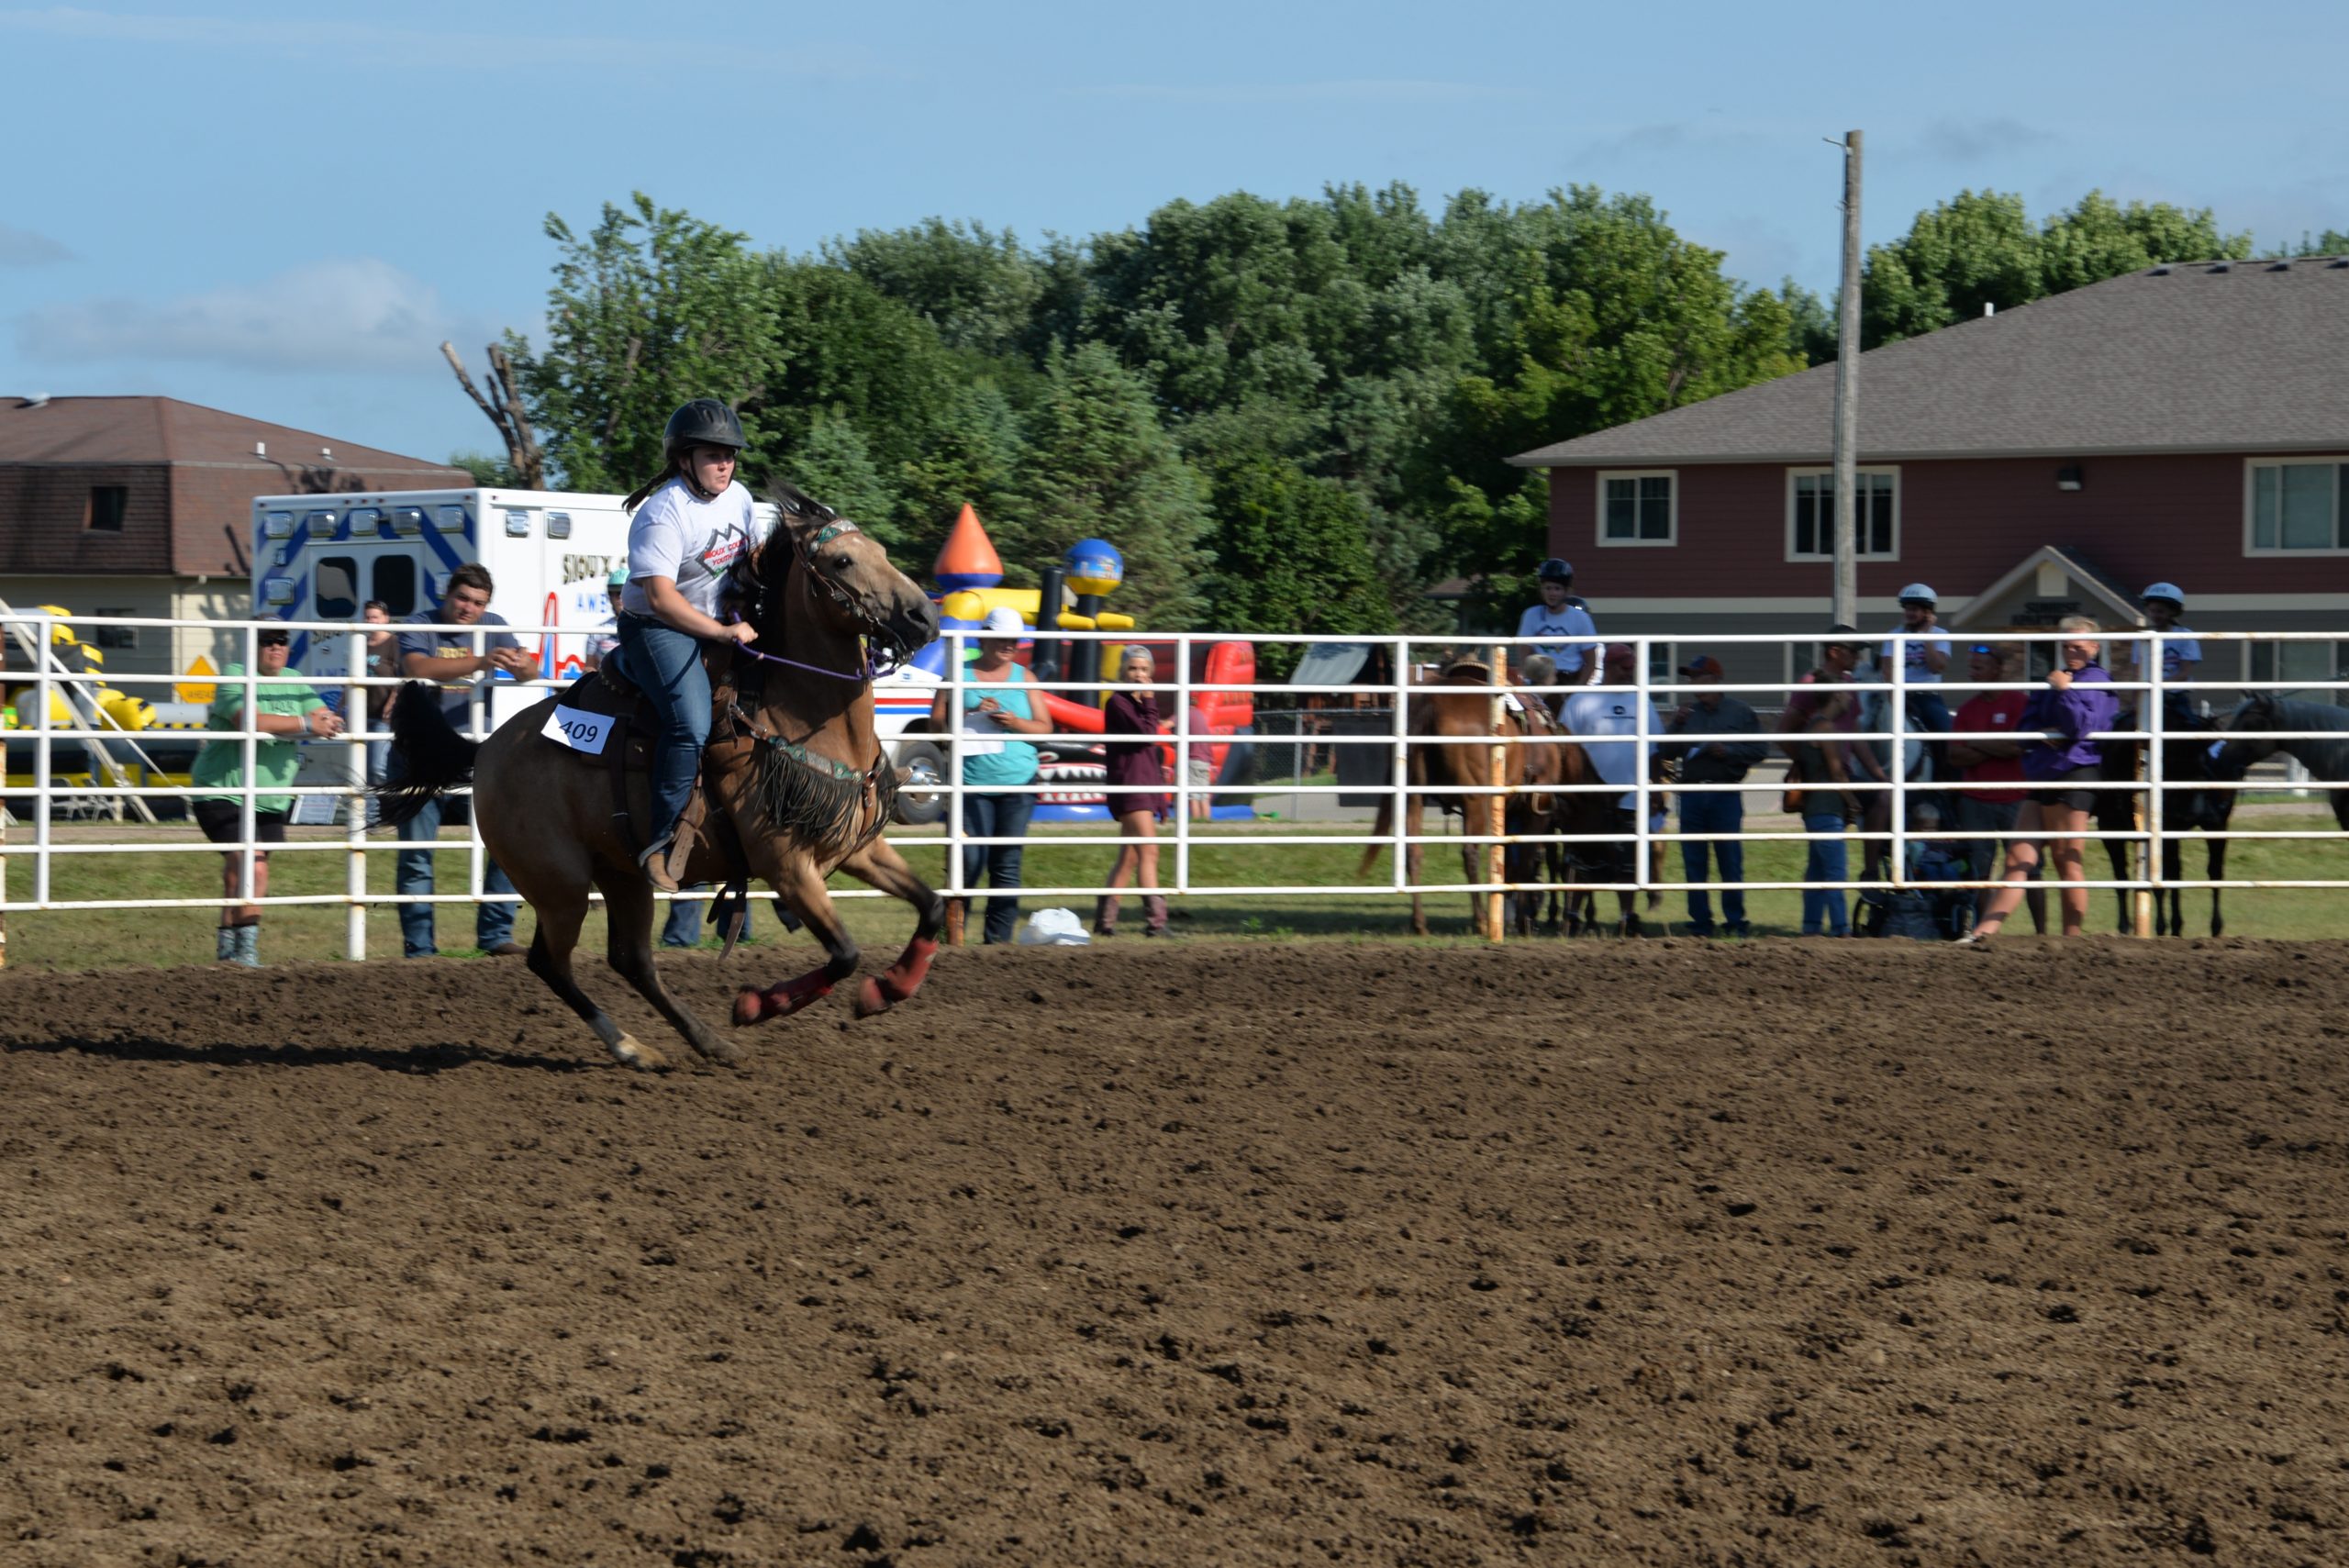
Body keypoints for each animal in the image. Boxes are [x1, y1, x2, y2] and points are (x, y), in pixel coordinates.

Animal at [380, 490, 940, 1070]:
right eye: (842, 561)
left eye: (880, 550)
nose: (924, 616)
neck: (793, 718)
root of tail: (486, 750)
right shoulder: (786, 866)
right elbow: (845, 954)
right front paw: (757, 1005)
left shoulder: (856, 847)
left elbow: (932, 906)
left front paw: (891, 987)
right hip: (560, 886)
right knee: (551, 962)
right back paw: (633, 1046)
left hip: (622, 875)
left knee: (632, 961)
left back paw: (698, 1042)